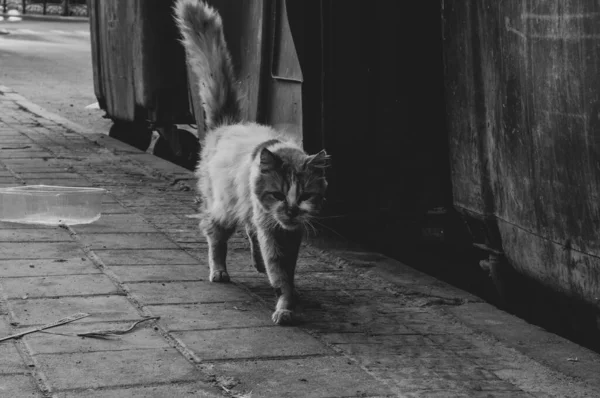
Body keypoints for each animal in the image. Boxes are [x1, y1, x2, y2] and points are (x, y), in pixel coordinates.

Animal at [176, 0, 330, 324]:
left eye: (306, 196)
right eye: (278, 194)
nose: (291, 211)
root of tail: (228, 124)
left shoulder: (290, 232)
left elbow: (287, 268)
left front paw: (288, 294)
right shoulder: (270, 226)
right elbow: (279, 270)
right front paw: (285, 305)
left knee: (246, 231)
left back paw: (255, 263)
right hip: (224, 207)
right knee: (213, 231)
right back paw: (219, 270)